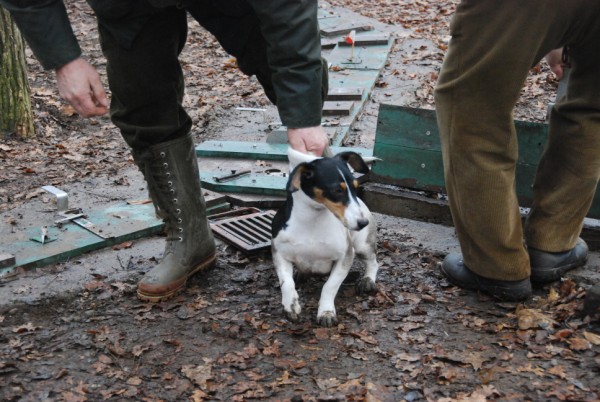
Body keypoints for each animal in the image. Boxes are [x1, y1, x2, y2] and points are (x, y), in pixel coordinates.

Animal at [272, 148, 380, 326]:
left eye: (356, 187)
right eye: (337, 190)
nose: (363, 222)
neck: (312, 221)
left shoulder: (345, 257)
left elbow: (329, 286)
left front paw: (326, 312)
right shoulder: (279, 254)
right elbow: (286, 283)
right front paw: (291, 305)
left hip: (362, 246)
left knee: (373, 262)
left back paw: (367, 280)